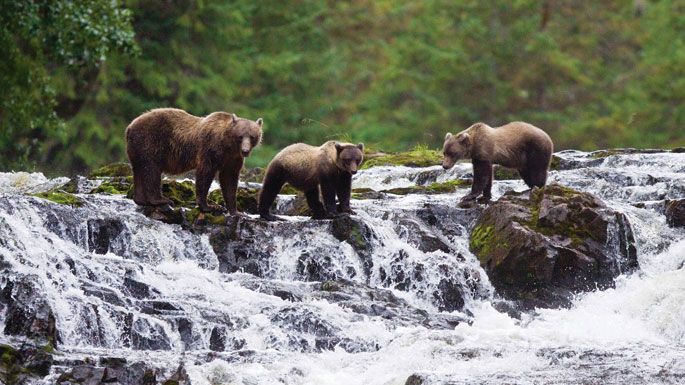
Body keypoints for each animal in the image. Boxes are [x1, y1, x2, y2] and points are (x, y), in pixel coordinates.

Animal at [124, 107, 264, 213]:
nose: (245, 150)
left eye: (252, 136)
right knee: (152, 170)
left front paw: (235, 211)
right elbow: (205, 174)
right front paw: (209, 206)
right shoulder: (210, 149)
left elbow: (229, 179)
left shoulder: (232, 159)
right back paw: (161, 199)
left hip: (136, 149)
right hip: (150, 141)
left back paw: (140, 199)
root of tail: (130, 126)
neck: (227, 145)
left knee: (139, 170)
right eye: (240, 136)